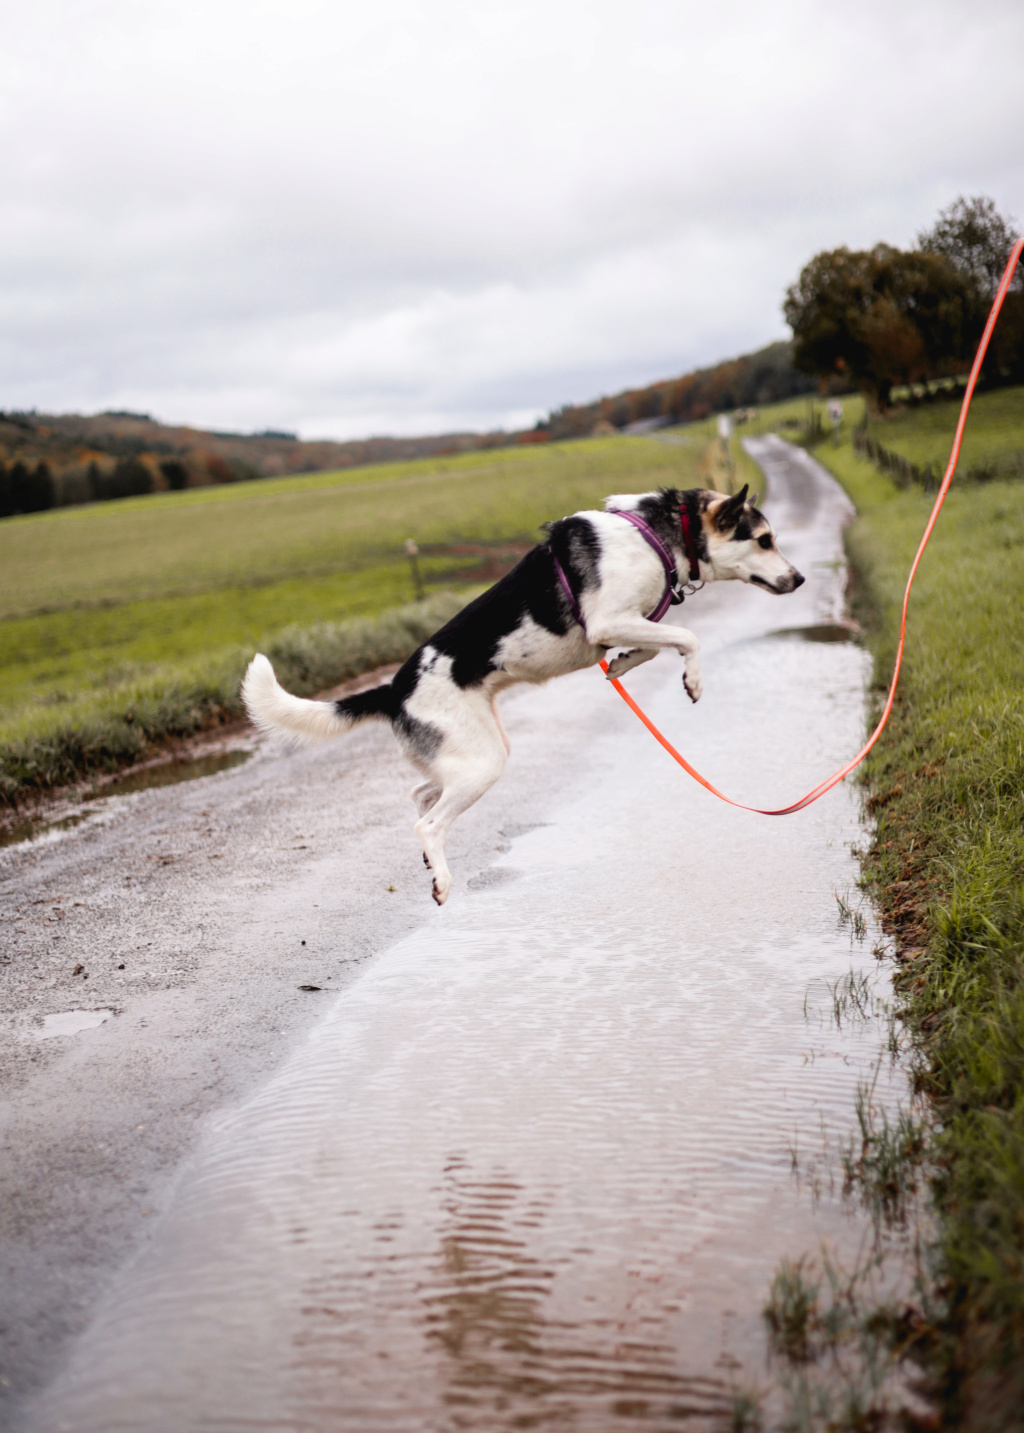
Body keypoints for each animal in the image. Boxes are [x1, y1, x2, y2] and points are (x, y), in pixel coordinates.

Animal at [244, 487, 807, 899]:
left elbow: (648, 647)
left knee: (421, 794)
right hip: (483, 762)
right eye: (764, 540)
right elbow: (687, 636)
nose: (800, 579)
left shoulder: (620, 626)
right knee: (428, 821)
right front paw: (691, 679)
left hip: (472, 753)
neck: (652, 534)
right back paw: (440, 877)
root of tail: (393, 688)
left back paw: (430, 858)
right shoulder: (609, 620)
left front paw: (622, 665)